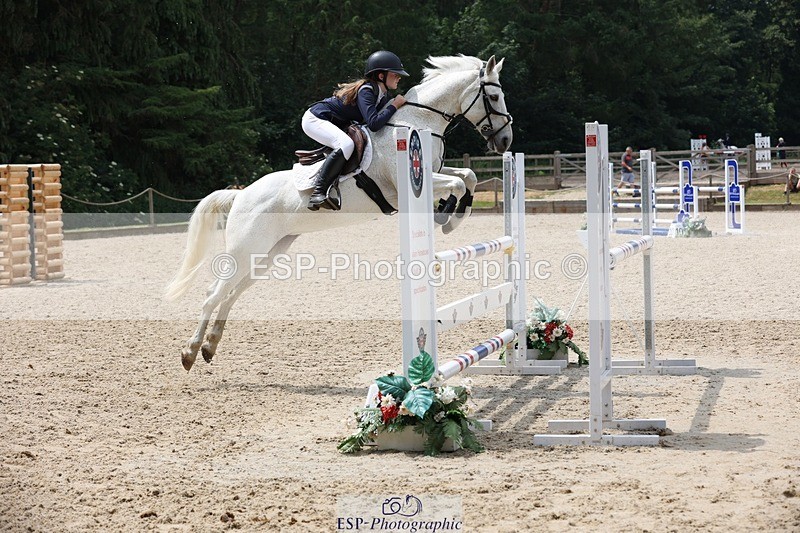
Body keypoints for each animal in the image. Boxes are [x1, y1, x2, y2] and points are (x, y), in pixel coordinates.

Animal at [165, 54, 514, 371]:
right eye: (495, 96)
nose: (506, 140)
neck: (419, 120)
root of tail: (240, 195)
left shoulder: (433, 173)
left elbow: (468, 177)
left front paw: (451, 213)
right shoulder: (409, 182)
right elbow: (457, 181)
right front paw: (447, 217)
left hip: (267, 253)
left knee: (231, 293)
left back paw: (210, 346)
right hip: (245, 249)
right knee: (213, 293)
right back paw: (190, 352)